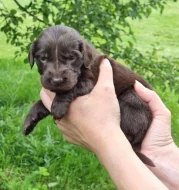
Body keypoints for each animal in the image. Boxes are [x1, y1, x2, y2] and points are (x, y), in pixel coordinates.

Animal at [22, 25, 154, 166]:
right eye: (43, 58)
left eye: (71, 58)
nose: (57, 80)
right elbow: (40, 103)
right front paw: (29, 120)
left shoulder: (88, 82)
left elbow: (70, 89)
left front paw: (58, 106)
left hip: (131, 97)